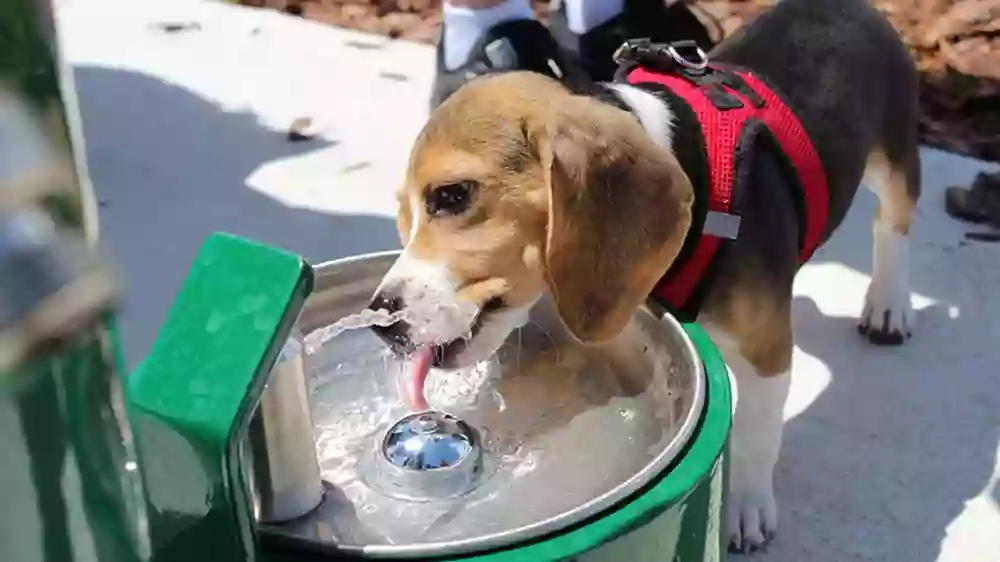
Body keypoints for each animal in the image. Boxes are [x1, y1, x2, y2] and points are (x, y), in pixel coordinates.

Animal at [370, 0, 920, 552]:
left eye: (453, 195)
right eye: (402, 215)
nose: (378, 321)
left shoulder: (767, 349)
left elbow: (758, 434)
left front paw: (746, 505)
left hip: (895, 158)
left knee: (891, 225)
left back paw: (888, 304)